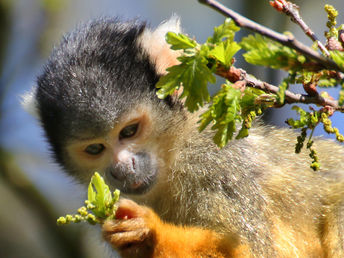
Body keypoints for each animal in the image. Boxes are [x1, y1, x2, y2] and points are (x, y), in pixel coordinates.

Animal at [22, 17, 344, 256]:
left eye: (129, 131)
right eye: (95, 149)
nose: (123, 168)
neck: (177, 152)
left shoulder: (218, 165)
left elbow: (255, 251)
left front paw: (150, 236)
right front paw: (136, 244)